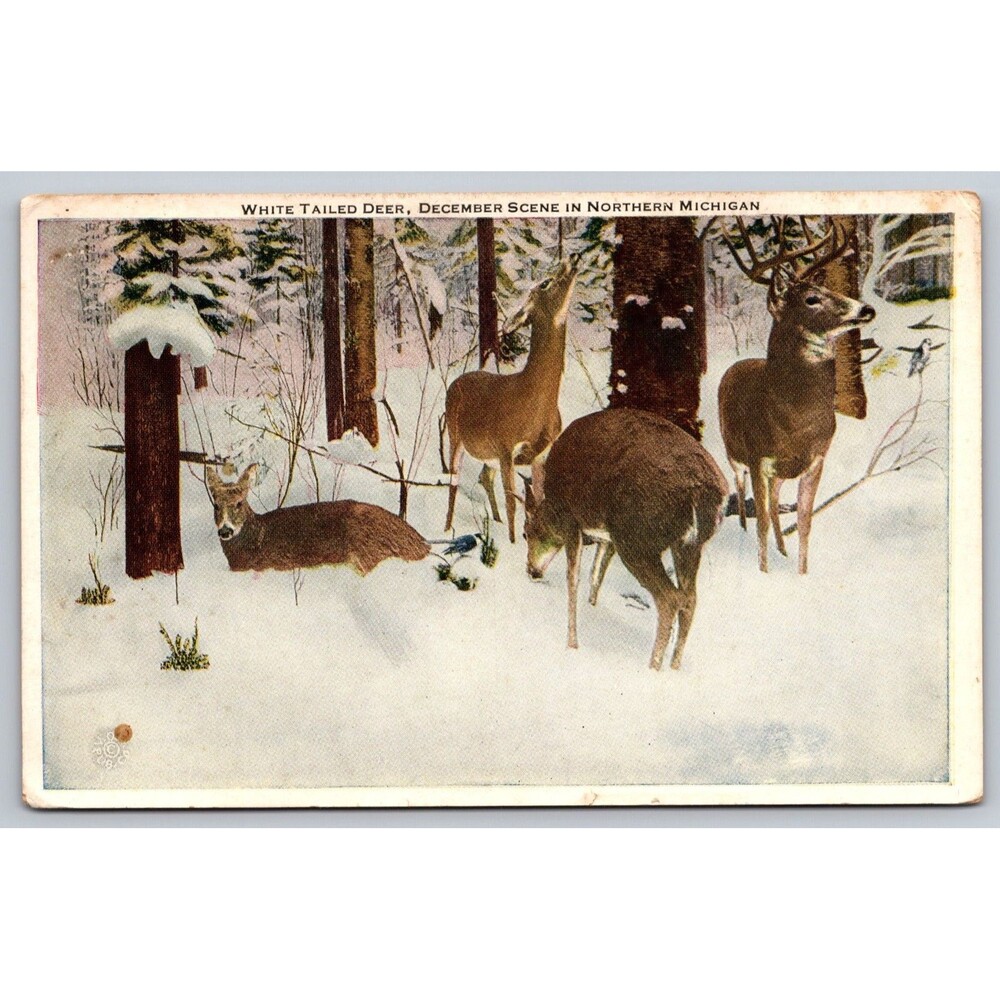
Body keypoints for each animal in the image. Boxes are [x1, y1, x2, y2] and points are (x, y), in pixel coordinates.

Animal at [444, 256, 578, 544]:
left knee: (484, 475)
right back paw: (448, 528)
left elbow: (537, 501)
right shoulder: (505, 447)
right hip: (454, 434)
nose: (572, 259)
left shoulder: (540, 454)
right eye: (545, 282)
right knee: (454, 479)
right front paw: (514, 542)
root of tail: (455, 382)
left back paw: (493, 521)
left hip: (487, 453)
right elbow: (513, 503)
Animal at [523, 407, 729, 672]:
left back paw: (654, 666)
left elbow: (573, 579)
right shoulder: (607, 536)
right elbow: (596, 575)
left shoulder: (572, 520)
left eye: (526, 533)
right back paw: (674, 666)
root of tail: (702, 492)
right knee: (690, 600)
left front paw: (572, 643)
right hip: (688, 546)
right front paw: (591, 607)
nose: (532, 570)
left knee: (670, 598)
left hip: (636, 538)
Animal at [716, 216, 876, 574]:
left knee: (776, 500)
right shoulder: (759, 458)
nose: (866, 308)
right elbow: (761, 521)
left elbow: (804, 522)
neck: (794, 421)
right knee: (741, 491)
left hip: (781, 472)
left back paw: (783, 550)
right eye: (812, 299)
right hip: (733, 451)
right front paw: (763, 572)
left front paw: (801, 572)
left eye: (830, 289)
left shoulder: (816, 459)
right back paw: (743, 532)